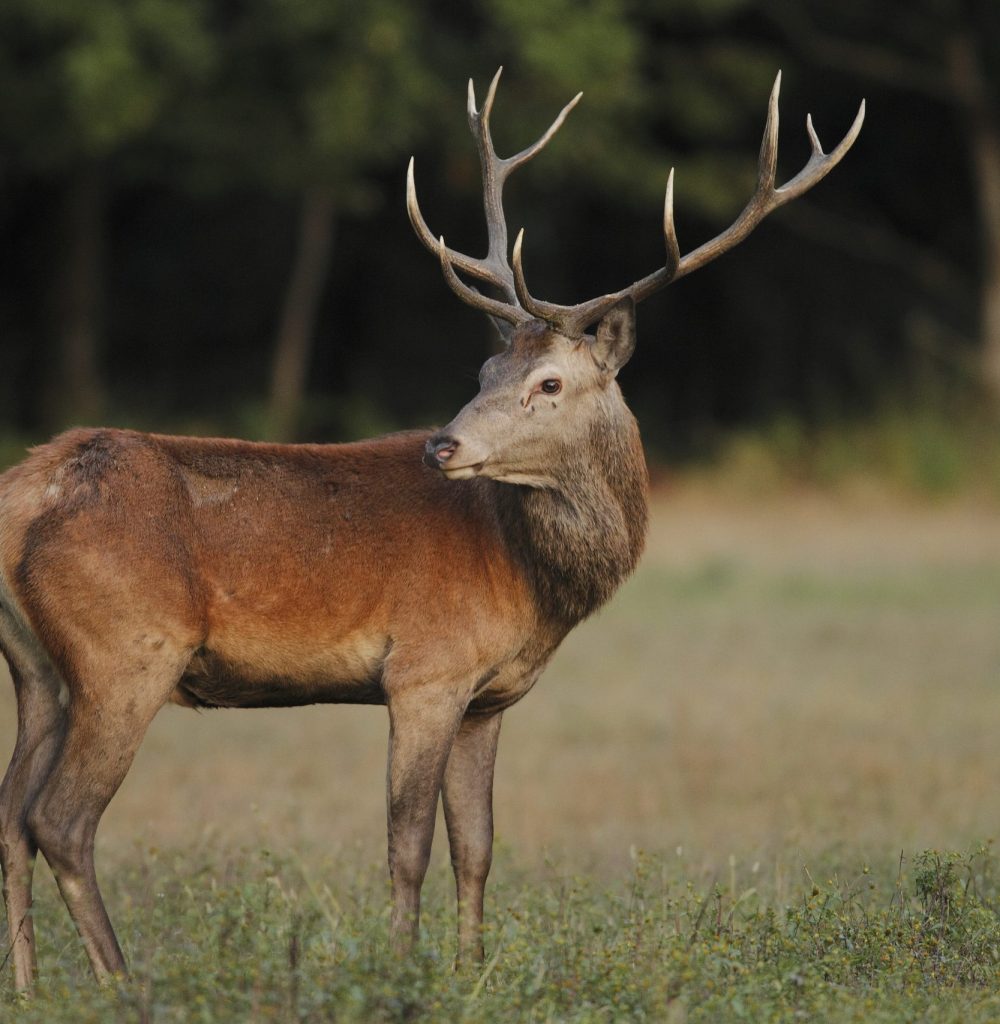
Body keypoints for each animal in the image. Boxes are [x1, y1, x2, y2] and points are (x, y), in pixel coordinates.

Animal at [0, 68, 863, 991]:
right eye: (485, 369)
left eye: (547, 382)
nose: (442, 444)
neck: (530, 582)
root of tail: (26, 491)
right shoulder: (425, 670)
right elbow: (407, 844)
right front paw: (403, 973)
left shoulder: (489, 697)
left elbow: (476, 846)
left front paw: (471, 972)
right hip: (128, 649)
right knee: (62, 819)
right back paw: (122, 986)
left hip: (38, 666)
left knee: (12, 813)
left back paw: (32, 988)